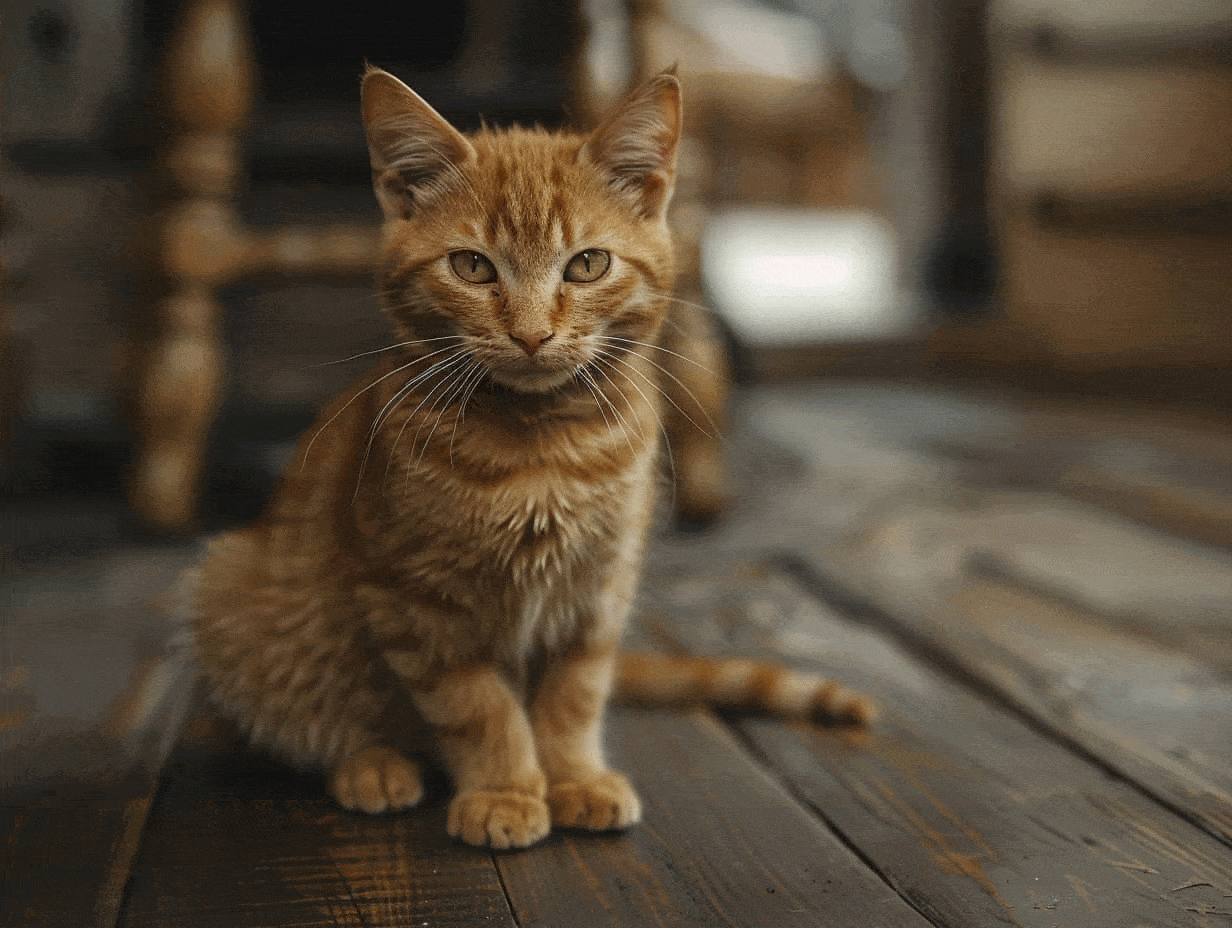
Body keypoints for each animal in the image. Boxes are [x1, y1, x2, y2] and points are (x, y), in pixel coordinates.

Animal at [187, 66, 872, 847]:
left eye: (588, 264)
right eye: (471, 266)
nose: (532, 333)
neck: (542, 445)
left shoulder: (597, 596)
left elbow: (572, 698)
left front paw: (573, 780)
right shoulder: (414, 601)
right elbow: (480, 709)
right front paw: (506, 792)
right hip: (234, 586)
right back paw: (372, 764)